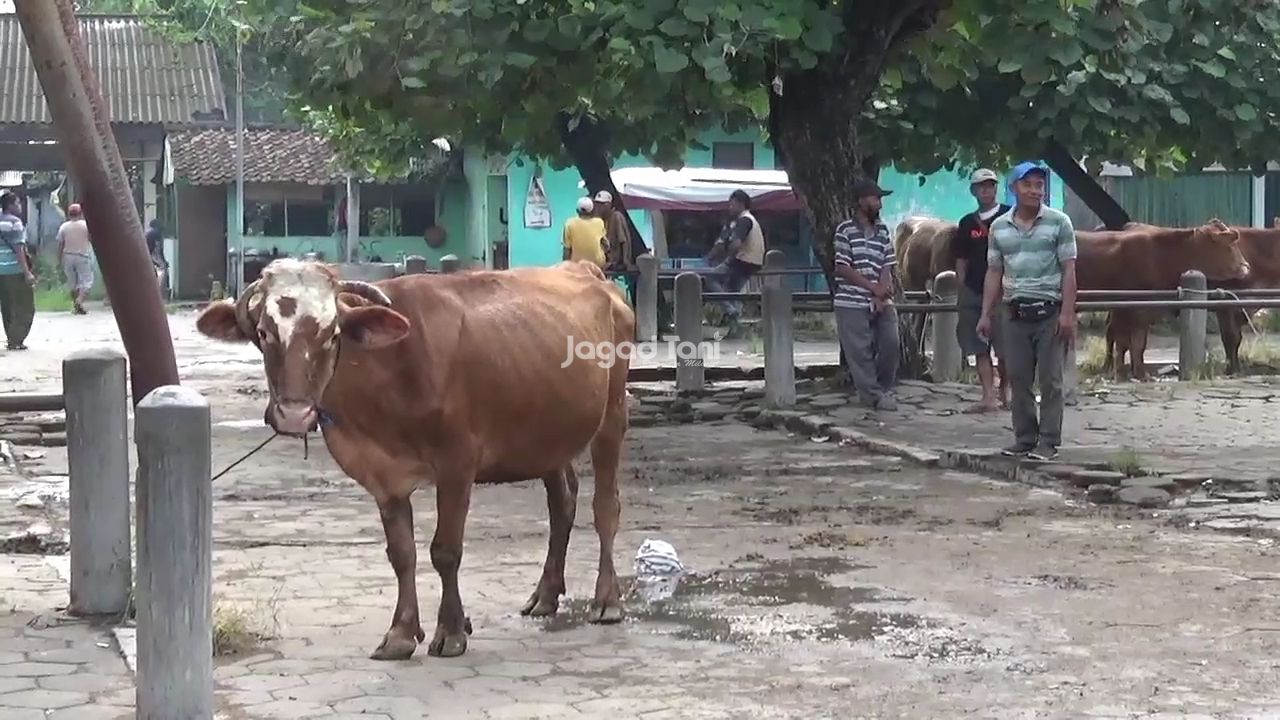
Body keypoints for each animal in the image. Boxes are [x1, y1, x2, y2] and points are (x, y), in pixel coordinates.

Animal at [197, 256, 632, 655]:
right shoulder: (381, 475)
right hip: (547, 434)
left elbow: (445, 551)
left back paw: (607, 599)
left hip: (612, 415)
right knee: (562, 504)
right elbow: (401, 554)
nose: (294, 414)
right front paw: (401, 633)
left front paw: (451, 630)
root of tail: (586, 270)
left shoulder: (458, 462)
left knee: (605, 507)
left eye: (332, 333)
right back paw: (545, 594)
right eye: (263, 332)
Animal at [1080, 220, 1249, 379]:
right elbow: (1126, 342)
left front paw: (1133, 372)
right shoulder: (1128, 308)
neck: (1159, 255)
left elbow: (1134, 342)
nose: (1246, 266)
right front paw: (1129, 374)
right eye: (1230, 245)